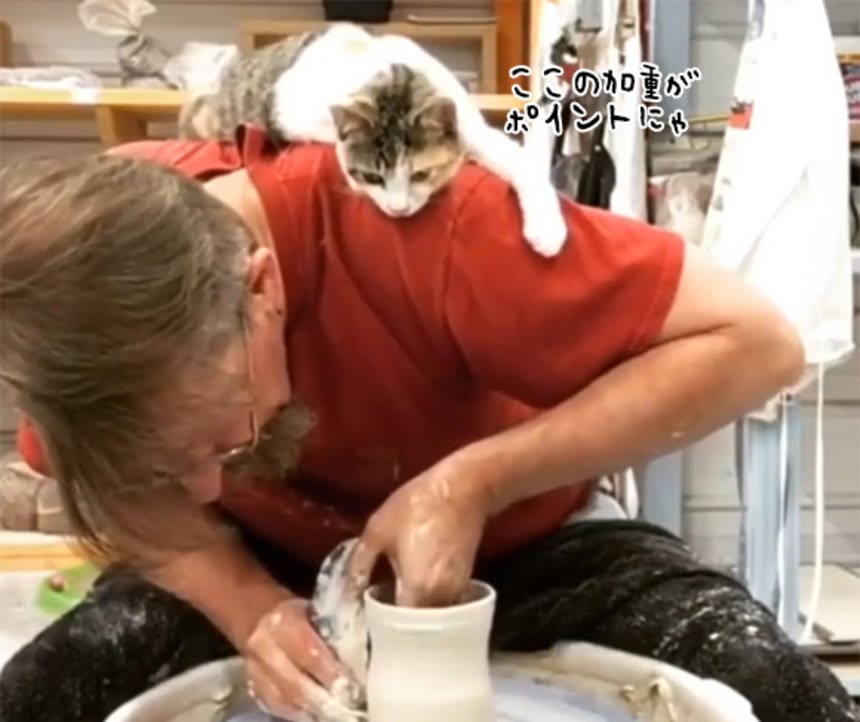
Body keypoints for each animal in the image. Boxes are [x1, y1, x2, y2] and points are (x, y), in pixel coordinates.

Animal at [179, 23, 568, 257]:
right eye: (373, 176)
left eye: (421, 174)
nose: (399, 209)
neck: (391, 77)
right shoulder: (293, 113)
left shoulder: (469, 126)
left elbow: (521, 161)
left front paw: (547, 229)